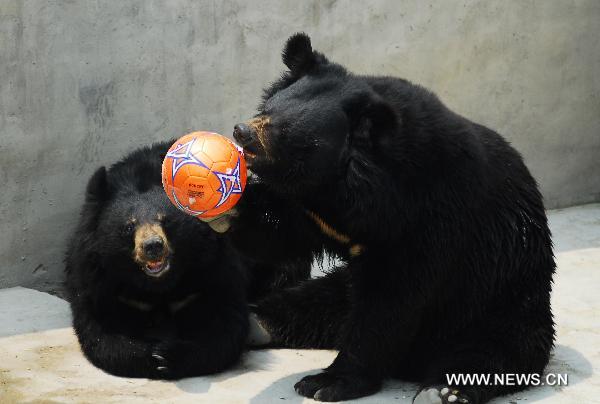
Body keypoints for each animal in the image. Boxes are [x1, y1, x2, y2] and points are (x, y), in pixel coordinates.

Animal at [64, 143, 252, 378]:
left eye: (166, 221)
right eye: (129, 226)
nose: (153, 246)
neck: (158, 284)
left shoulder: (212, 270)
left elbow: (224, 324)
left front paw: (168, 357)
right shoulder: (98, 278)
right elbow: (101, 330)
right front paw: (149, 357)